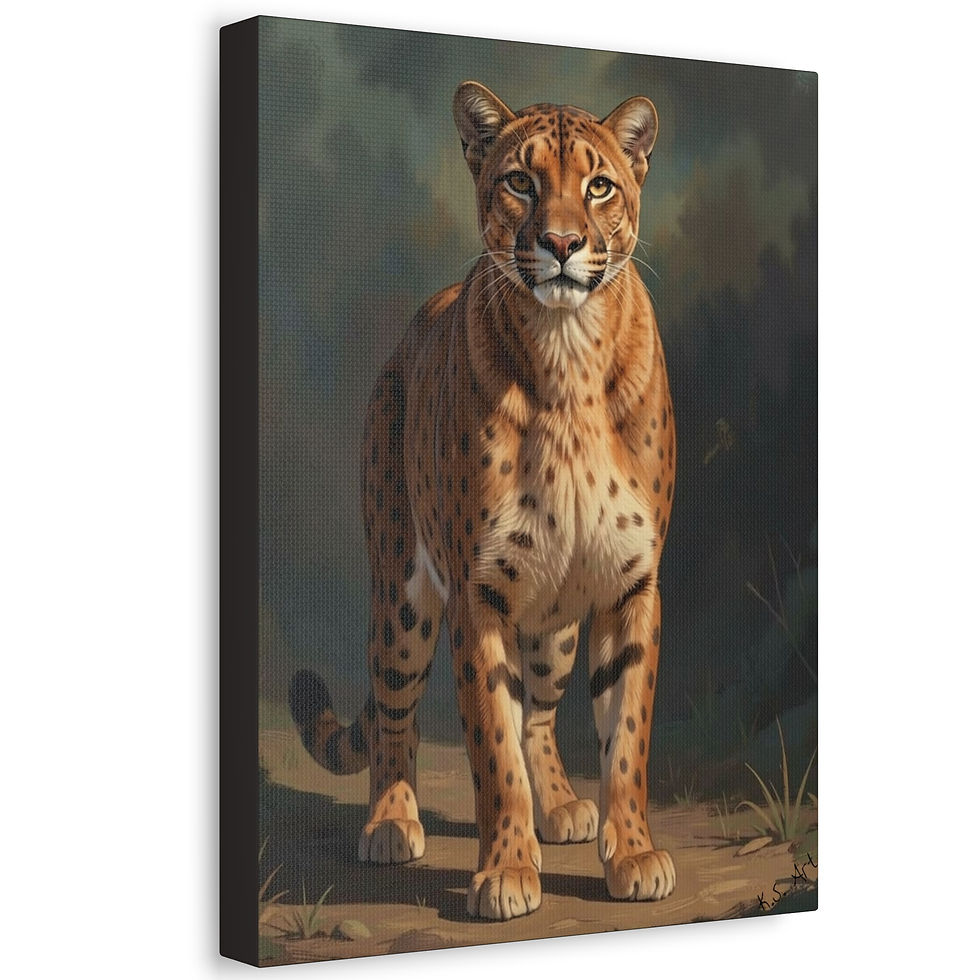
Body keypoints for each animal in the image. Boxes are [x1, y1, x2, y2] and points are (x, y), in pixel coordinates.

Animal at [289, 81, 677, 921]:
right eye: (520, 181)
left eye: (600, 185)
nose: (561, 242)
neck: (568, 352)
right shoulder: (479, 592)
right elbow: (491, 748)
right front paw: (505, 872)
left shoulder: (630, 584)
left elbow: (626, 736)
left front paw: (632, 854)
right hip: (401, 596)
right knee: (395, 712)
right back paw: (390, 823)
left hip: (557, 624)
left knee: (541, 710)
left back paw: (560, 805)